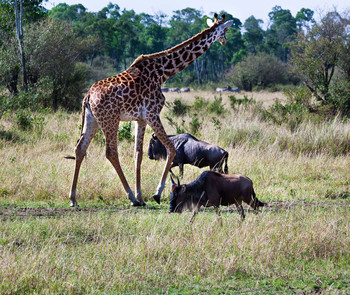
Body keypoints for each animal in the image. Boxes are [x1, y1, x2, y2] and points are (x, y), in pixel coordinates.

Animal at [68, 13, 232, 208]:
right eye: (225, 30)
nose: (225, 41)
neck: (163, 73)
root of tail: (88, 97)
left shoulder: (141, 118)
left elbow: (138, 154)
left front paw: (141, 196)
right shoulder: (153, 113)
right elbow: (171, 148)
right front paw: (156, 193)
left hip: (92, 120)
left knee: (80, 149)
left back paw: (73, 199)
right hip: (110, 120)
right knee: (111, 152)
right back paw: (130, 197)